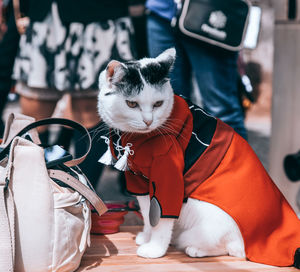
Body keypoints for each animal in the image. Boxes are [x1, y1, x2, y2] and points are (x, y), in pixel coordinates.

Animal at [98, 47, 300, 268]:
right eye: (132, 104)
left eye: (158, 103)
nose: (148, 121)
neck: (132, 137)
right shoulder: (138, 180)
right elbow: (147, 212)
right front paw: (146, 236)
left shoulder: (168, 177)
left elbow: (160, 217)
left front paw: (155, 249)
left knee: (234, 250)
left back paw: (195, 249)